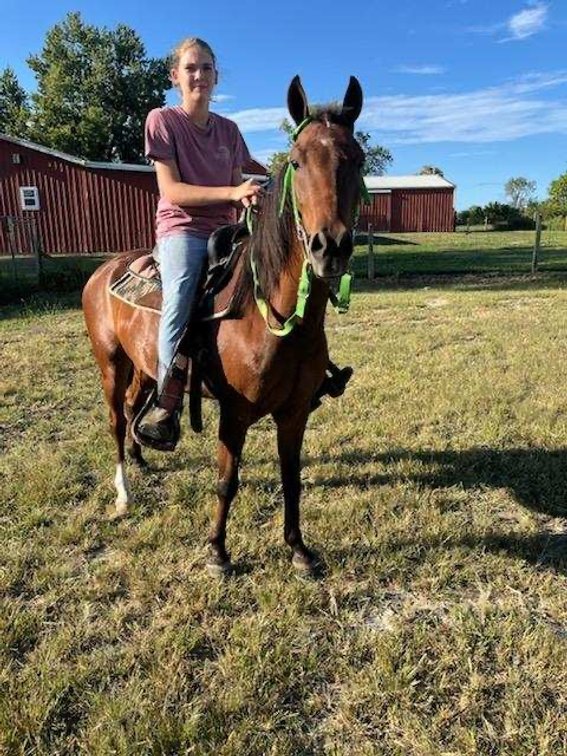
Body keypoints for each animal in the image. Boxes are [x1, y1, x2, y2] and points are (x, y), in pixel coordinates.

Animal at [82, 75, 365, 575]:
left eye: (359, 158)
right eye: (296, 161)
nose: (329, 247)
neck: (272, 317)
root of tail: (102, 272)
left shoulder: (294, 413)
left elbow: (292, 479)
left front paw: (298, 549)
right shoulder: (234, 414)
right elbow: (226, 481)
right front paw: (217, 551)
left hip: (143, 367)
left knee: (136, 406)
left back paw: (142, 455)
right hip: (111, 365)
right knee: (116, 420)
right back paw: (123, 493)